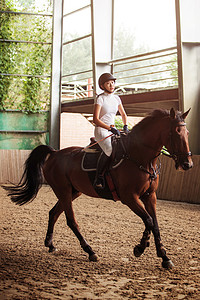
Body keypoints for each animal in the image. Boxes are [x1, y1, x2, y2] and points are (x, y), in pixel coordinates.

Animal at [3, 108, 193, 270]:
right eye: (176, 132)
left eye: (187, 133)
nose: (188, 164)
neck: (140, 157)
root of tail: (54, 153)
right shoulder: (130, 197)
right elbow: (148, 221)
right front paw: (140, 248)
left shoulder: (149, 196)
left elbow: (155, 224)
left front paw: (164, 257)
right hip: (63, 191)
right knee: (71, 221)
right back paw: (90, 251)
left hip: (73, 192)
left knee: (54, 213)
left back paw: (50, 245)